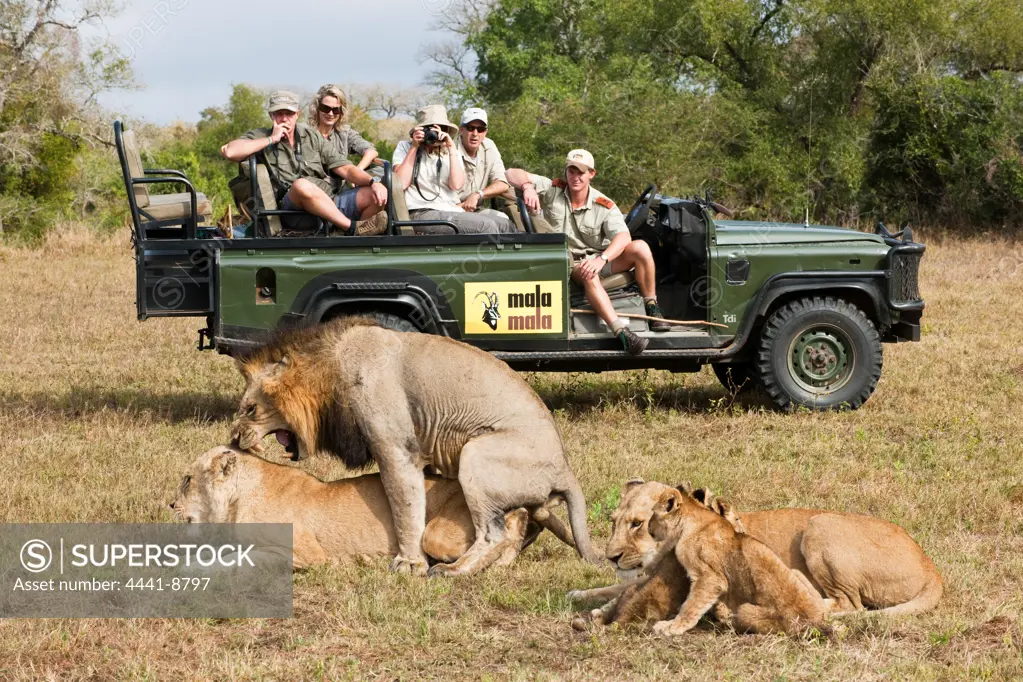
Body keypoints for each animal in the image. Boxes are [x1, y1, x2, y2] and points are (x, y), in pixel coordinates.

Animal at [171, 447, 581, 572]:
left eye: (187, 479)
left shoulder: (305, 554)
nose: (171, 504)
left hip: (437, 535)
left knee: (506, 533)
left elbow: (241, 556)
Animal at [230, 316, 597, 576]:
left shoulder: (396, 449)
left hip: (475, 455)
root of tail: (564, 468)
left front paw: (409, 564)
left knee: (492, 533)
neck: (332, 369)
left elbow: (405, 509)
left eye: (250, 409)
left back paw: (453, 570)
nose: (234, 438)